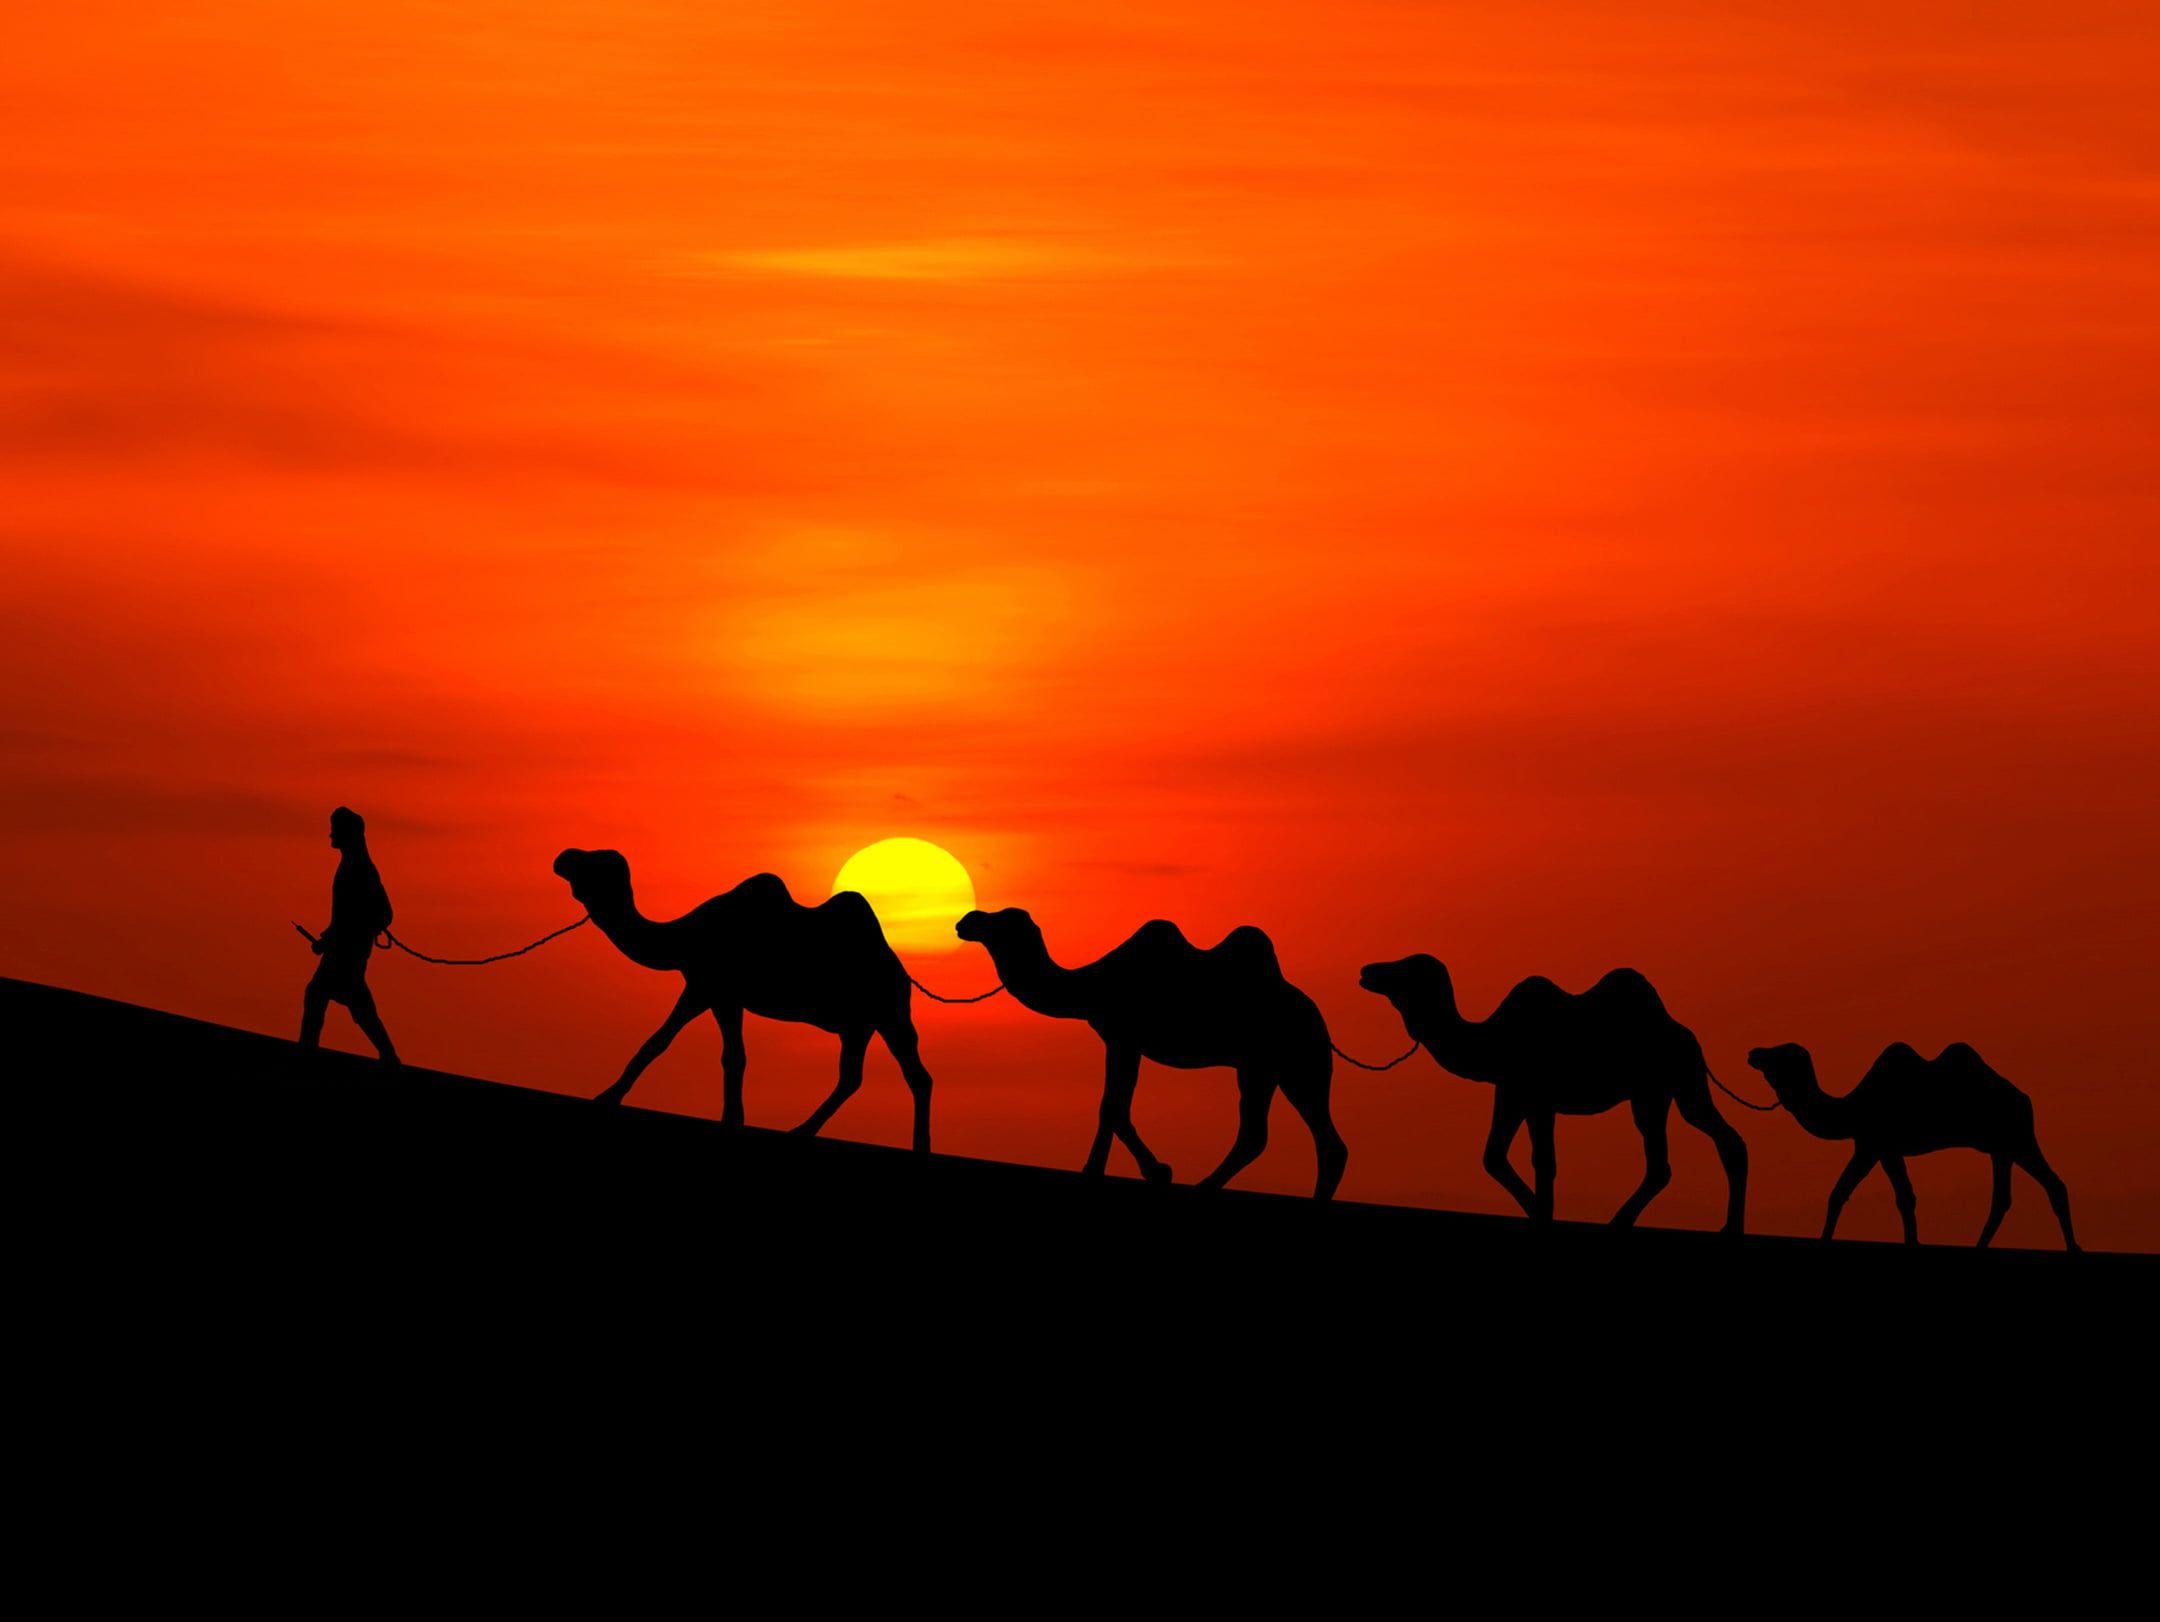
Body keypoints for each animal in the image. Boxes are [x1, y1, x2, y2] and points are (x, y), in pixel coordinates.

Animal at [553, 849, 934, 1150]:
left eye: (595, 861)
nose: (564, 856)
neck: (684, 936)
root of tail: (901, 973)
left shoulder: (705, 987)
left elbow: (660, 1042)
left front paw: (607, 1096)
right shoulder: (723, 997)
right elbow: (733, 1056)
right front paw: (732, 1118)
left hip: (887, 1010)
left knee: (895, 1075)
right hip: (865, 1023)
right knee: (869, 1076)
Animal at [954, 908, 1348, 1199]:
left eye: (1003, 920)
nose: (967, 920)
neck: (1090, 985)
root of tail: (1318, 1021)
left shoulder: (1123, 1039)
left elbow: (1112, 1106)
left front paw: (1136, 1170)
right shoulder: (1123, 1042)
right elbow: (1114, 1106)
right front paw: (1129, 1170)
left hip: (1289, 1061)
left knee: (1290, 1135)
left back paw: (1206, 1186)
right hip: (1274, 1069)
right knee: (1286, 1135)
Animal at [1359, 955, 1747, 1231]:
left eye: (1407, 968)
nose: (1368, 970)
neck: (1491, 1041)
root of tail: (1687, 1036)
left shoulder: (1538, 1097)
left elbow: (1543, 1161)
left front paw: (1543, 1214)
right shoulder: (1513, 1092)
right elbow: (1494, 1156)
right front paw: (1537, 1210)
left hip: (1660, 1088)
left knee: (1670, 1159)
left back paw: (1625, 1221)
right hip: (1672, 1089)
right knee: (1716, 1142)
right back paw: (1726, 1226)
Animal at [1746, 1042, 2076, 1249]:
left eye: (1780, 1054)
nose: (1754, 1053)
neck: (1853, 1108)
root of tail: (2025, 1099)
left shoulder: (1873, 1145)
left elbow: (1843, 1193)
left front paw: (1825, 1239)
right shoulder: (1883, 1149)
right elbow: (1905, 1197)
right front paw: (1913, 1240)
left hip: (2018, 1137)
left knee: (2051, 1185)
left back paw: (2073, 1248)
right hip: (2001, 1148)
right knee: (2007, 1198)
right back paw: (1981, 1245)